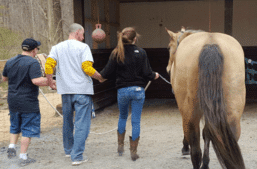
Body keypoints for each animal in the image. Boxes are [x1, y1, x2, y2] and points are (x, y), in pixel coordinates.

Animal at [165, 26, 245, 169]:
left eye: (169, 47)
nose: (168, 68)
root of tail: (211, 44)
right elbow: (207, 133)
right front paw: (206, 163)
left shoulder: (184, 111)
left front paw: (185, 147)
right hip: (232, 116)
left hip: (191, 114)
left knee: (195, 152)